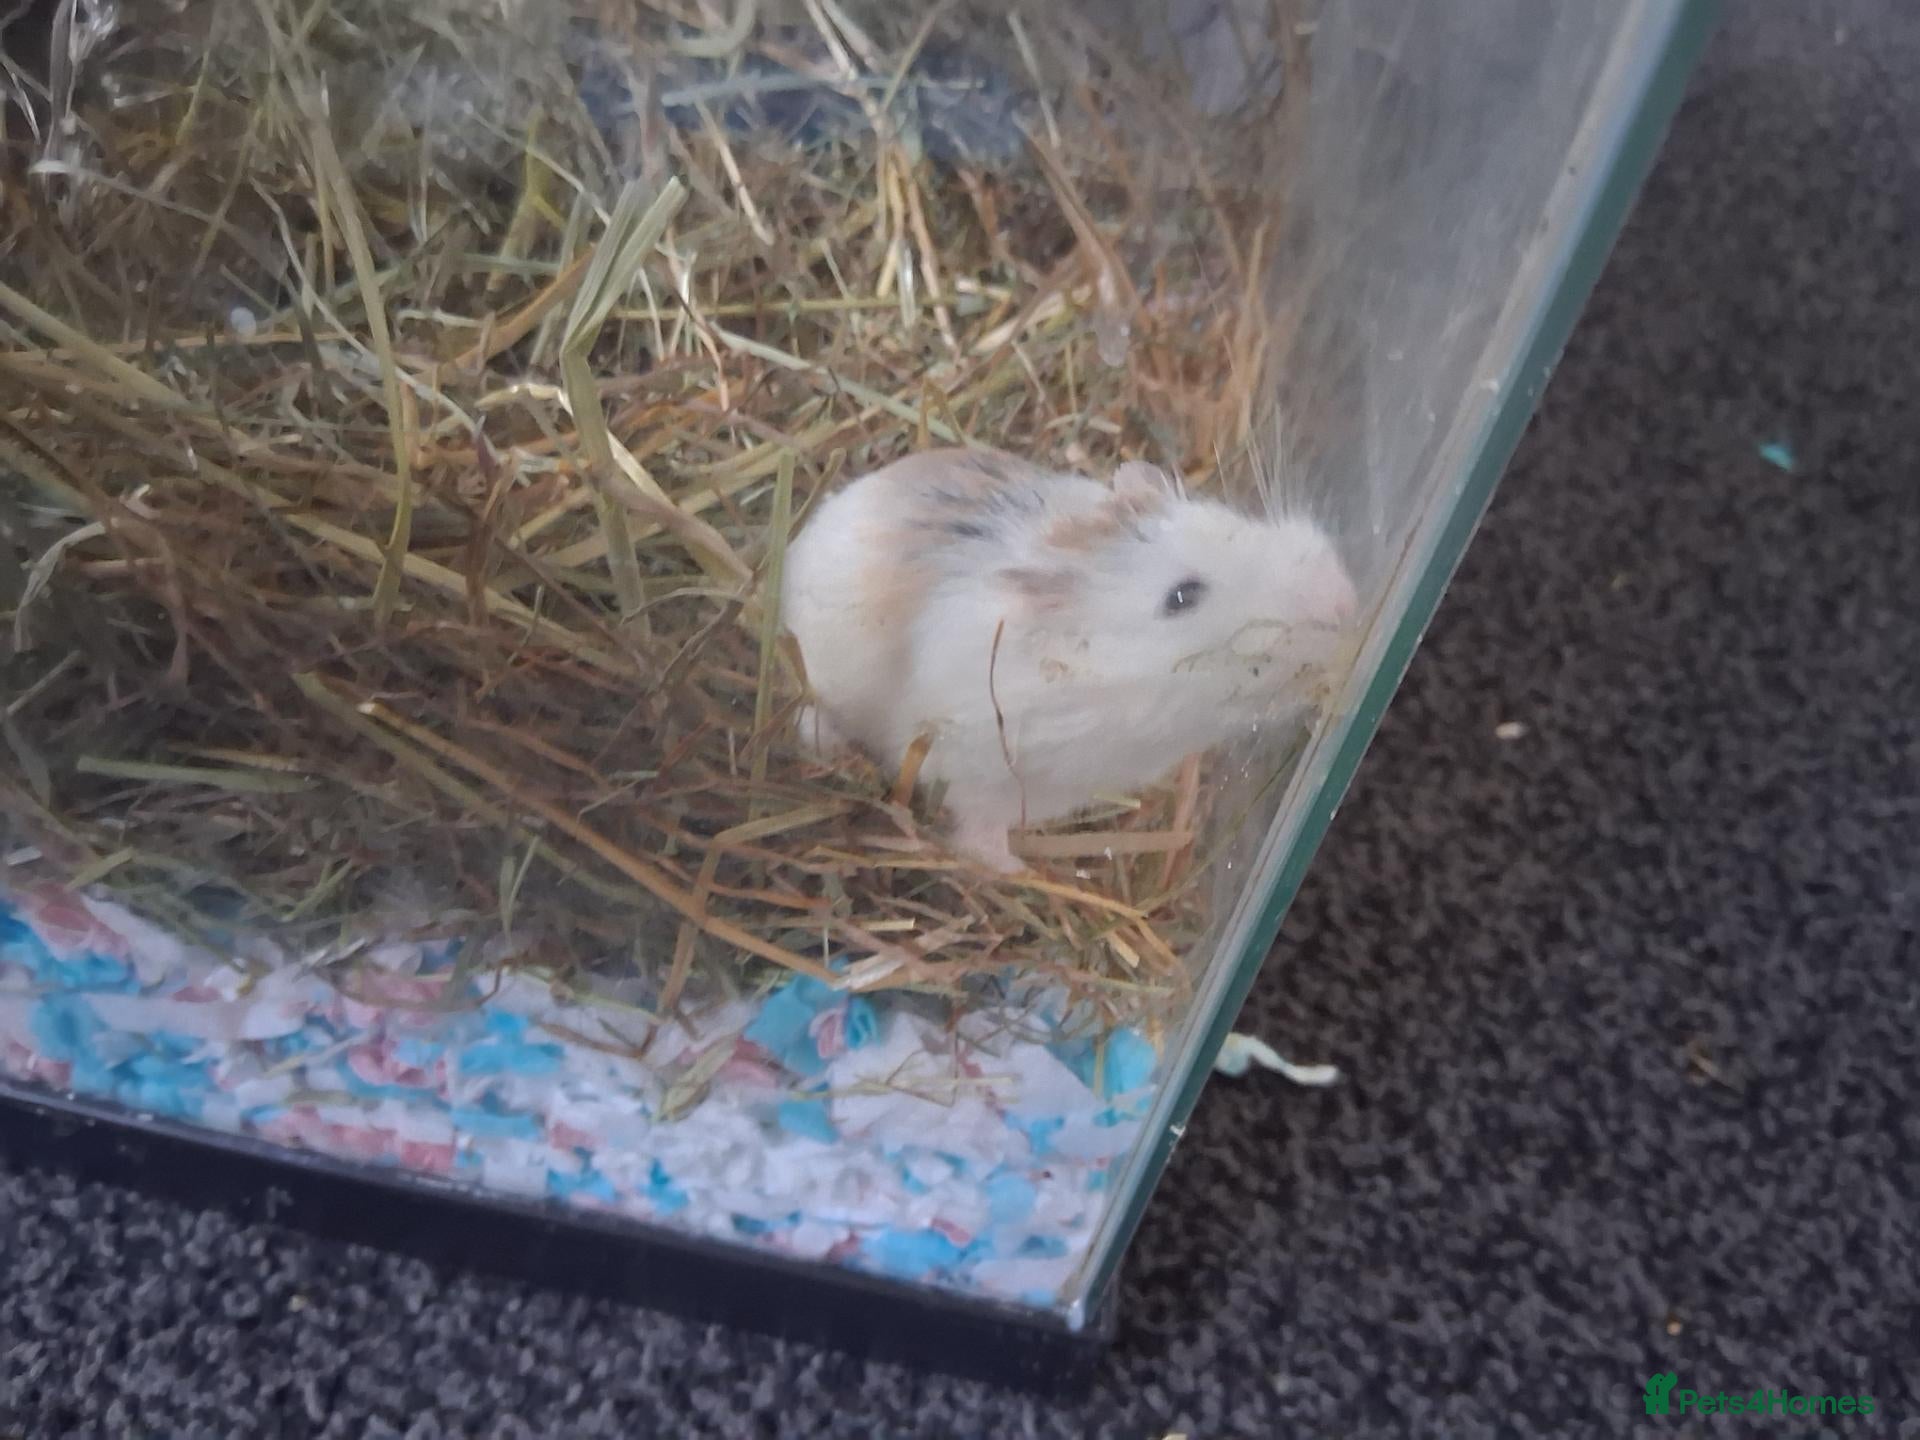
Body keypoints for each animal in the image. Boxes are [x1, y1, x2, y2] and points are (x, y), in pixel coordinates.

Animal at [779, 448, 1360, 872]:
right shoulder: (970, 767)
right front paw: (1015, 872)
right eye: (1182, 596)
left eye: (1233, 519)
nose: (1344, 600)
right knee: (809, 713)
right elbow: (977, 828)